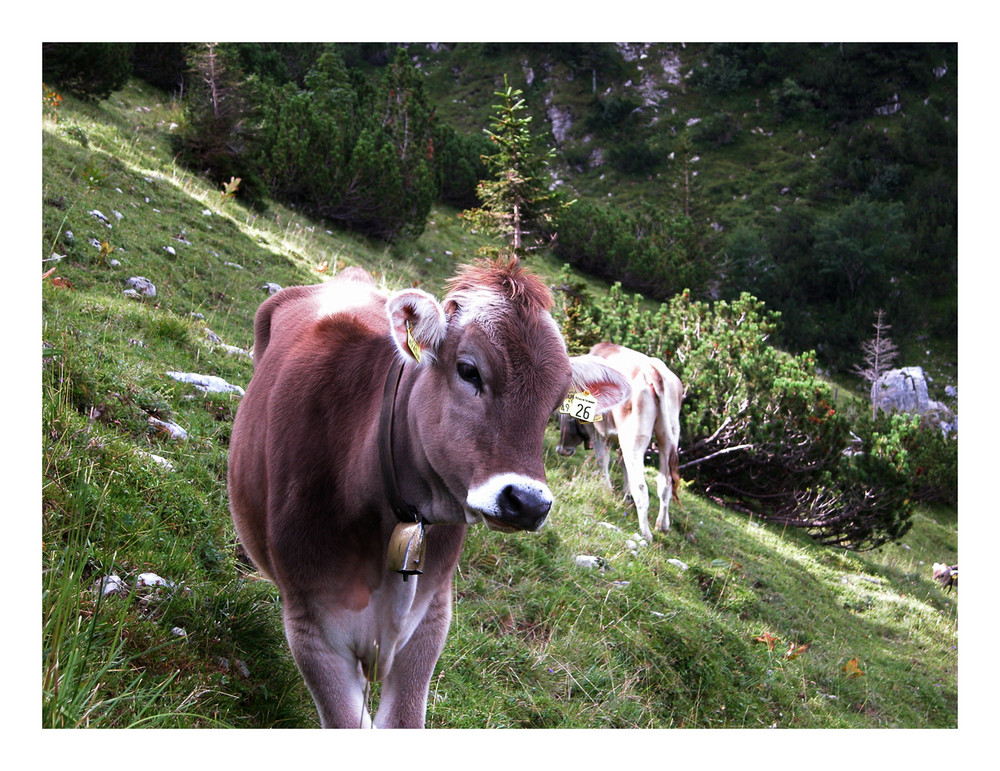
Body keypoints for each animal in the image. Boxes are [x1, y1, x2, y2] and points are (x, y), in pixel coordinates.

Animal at [552, 340, 684, 544]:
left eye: (562, 416)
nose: (562, 450)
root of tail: (653, 368)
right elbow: (623, 466)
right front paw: (625, 495)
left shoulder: (597, 431)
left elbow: (602, 460)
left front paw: (606, 489)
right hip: (667, 437)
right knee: (665, 483)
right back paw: (662, 525)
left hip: (634, 440)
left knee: (642, 486)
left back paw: (645, 533)